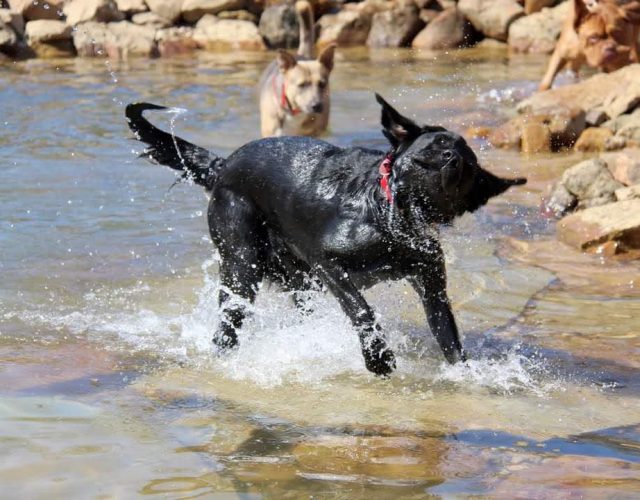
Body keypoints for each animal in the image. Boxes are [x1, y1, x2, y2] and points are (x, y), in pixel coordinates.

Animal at [125, 94, 524, 376]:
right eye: (437, 146)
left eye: (468, 166)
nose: (453, 161)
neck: (389, 220)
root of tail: (223, 165)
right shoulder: (327, 264)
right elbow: (362, 310)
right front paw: (379, 359)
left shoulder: (431, 285)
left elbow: (449, 336)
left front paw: (466, 375)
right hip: (242, 266)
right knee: (229, 319)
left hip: (297, 280)